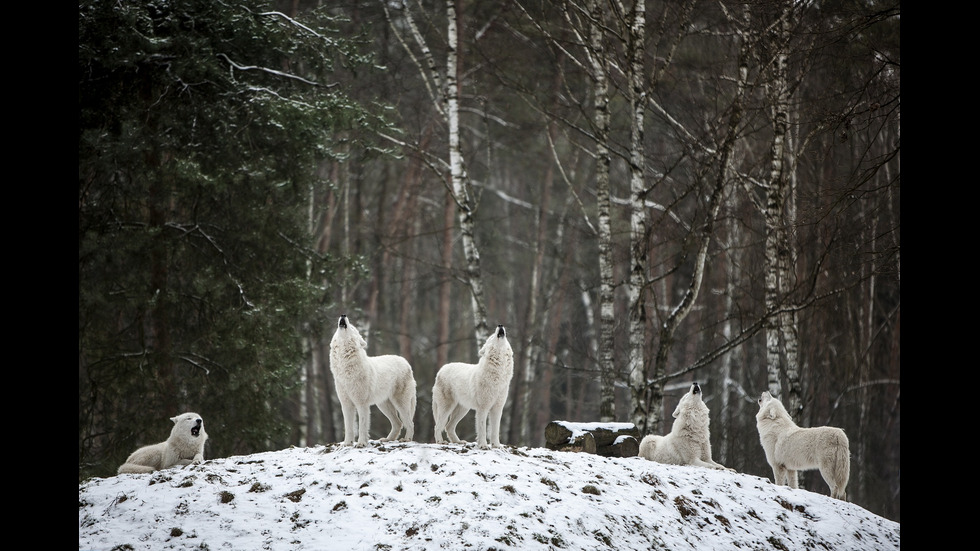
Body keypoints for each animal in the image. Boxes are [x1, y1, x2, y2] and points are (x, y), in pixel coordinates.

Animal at [330, 314, 418, 448]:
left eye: (352, 327)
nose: (343, 315)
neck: (345, 367)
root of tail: (406, 363)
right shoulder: (346, 404)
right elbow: (348, 427)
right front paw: (347, 443)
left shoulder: (362, 404)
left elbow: (362, 426)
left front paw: (361, 443)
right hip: (383, 405)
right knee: (398, 423)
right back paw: (387, 439)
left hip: (400, 404)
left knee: (410, 423)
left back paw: (406, 439)